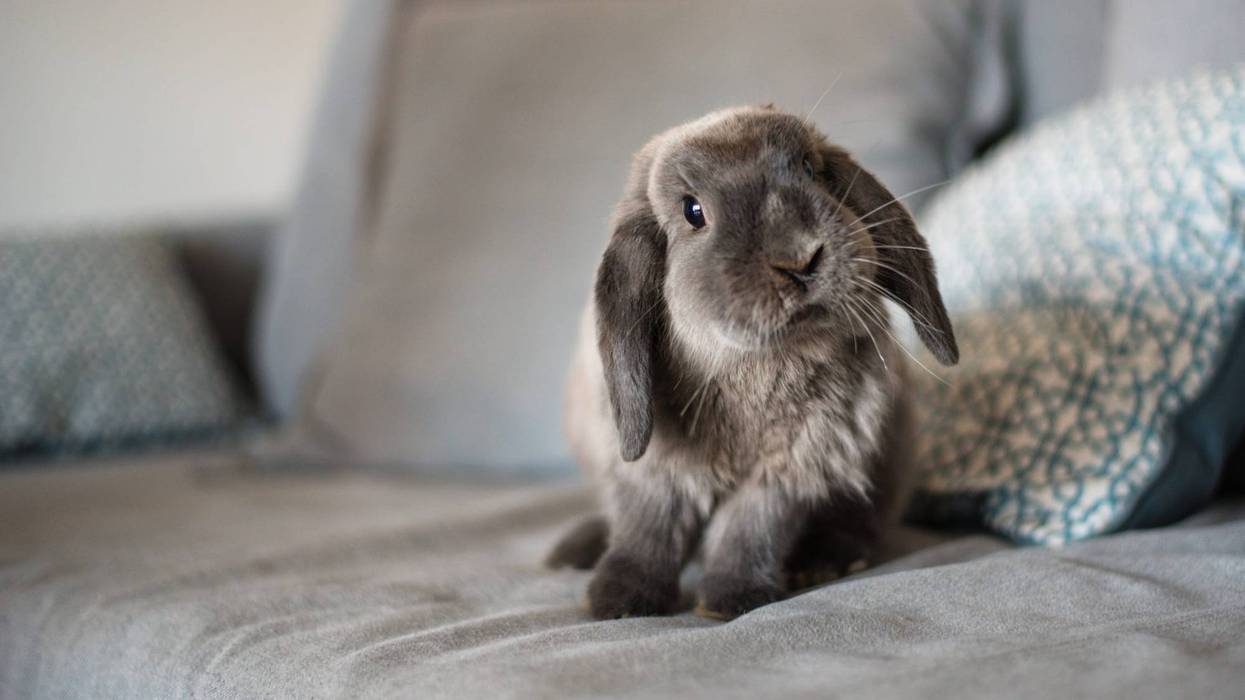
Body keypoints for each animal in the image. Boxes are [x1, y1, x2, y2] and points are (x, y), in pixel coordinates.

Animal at [546, 105, 958, 621]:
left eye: (810, 170)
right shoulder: (654, 470)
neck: (755, 367)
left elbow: (750, 529)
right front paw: (617, 601)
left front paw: (732, 600)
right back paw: (574, 551)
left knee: (861, 524)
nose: (800, 258)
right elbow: (649, 527)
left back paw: (824, 561)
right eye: (693, 211)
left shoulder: (789, 469)